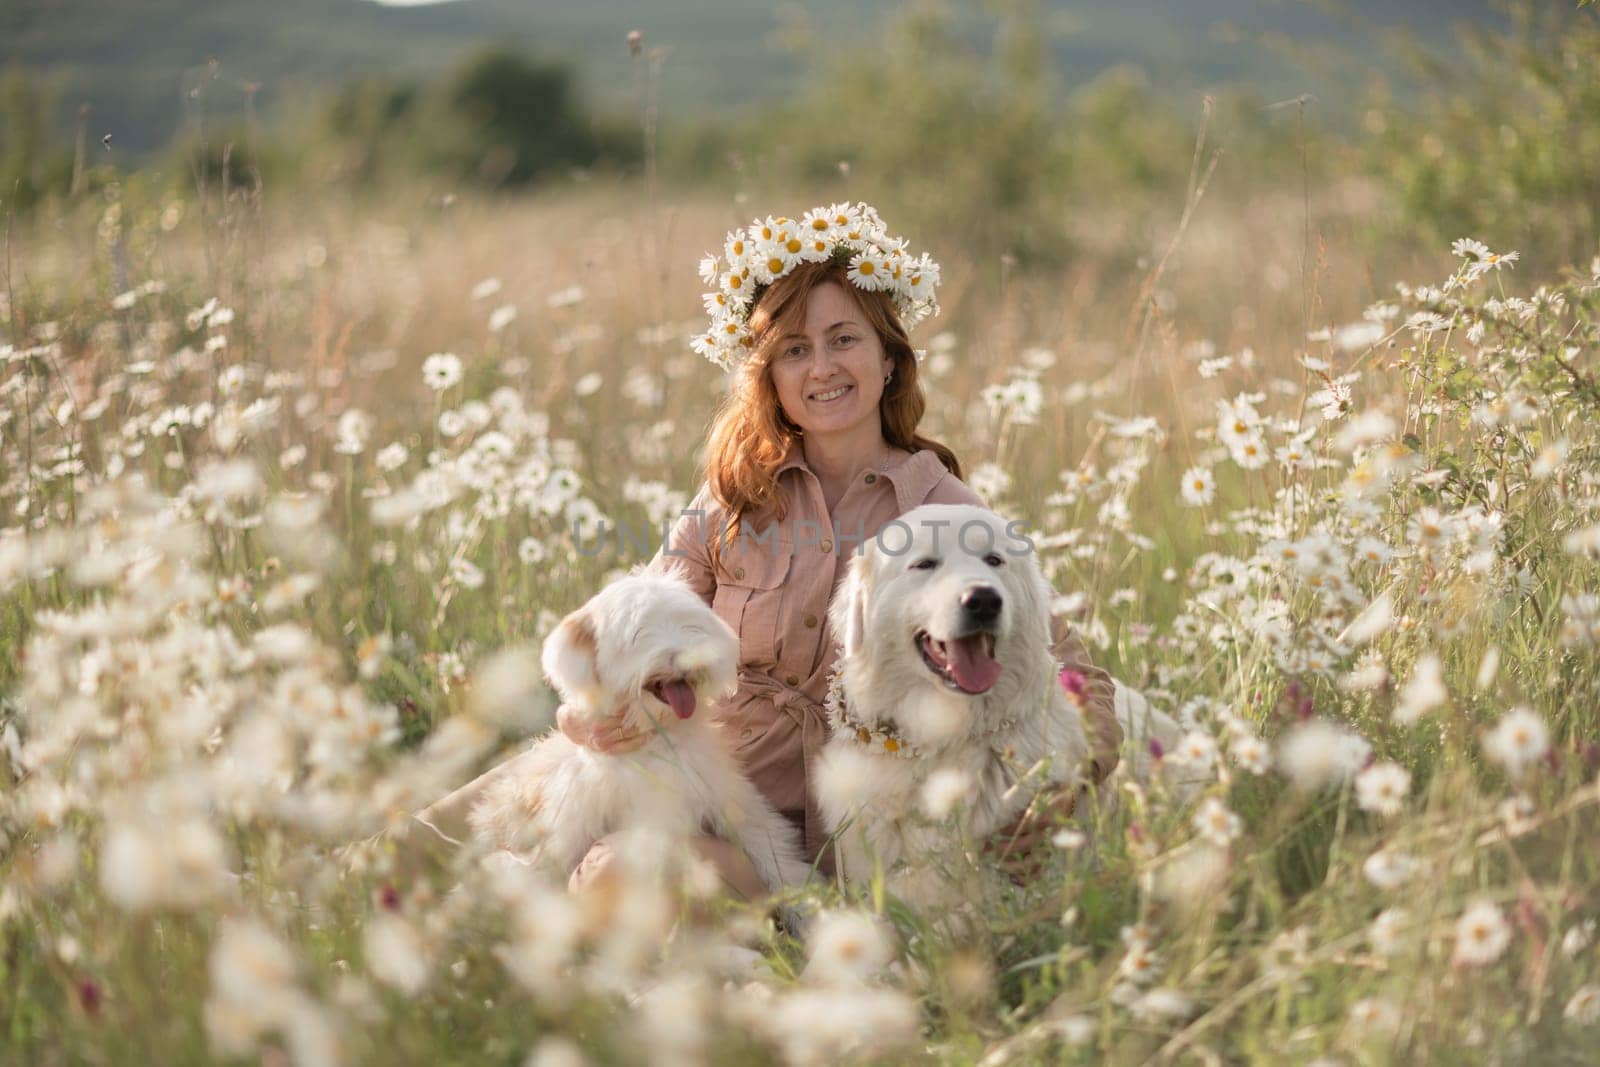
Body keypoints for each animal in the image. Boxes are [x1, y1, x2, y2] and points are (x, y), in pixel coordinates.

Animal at [464, 572, 812, 895]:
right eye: (638, 633)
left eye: (690, 625)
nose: (684, 657)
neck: (657, 738)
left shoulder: (729, 797)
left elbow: (769, 844)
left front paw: (803, 899)